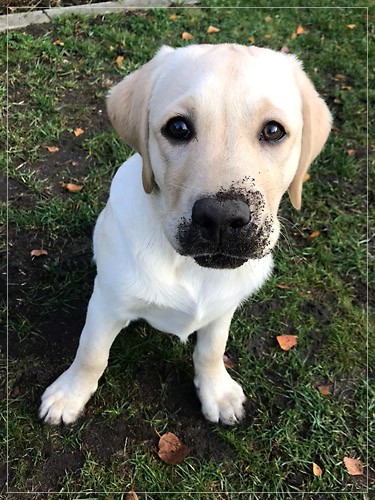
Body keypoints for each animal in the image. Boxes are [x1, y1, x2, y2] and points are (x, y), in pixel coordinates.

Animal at [39, 44, 332, 426]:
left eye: (273, 130)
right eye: (178, 127)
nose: (222, 218)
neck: (190, 267)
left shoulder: (224, 308)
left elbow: (211, 350)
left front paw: (216, 392)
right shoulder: (106, 302)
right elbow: (91, 352)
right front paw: (69, 394)